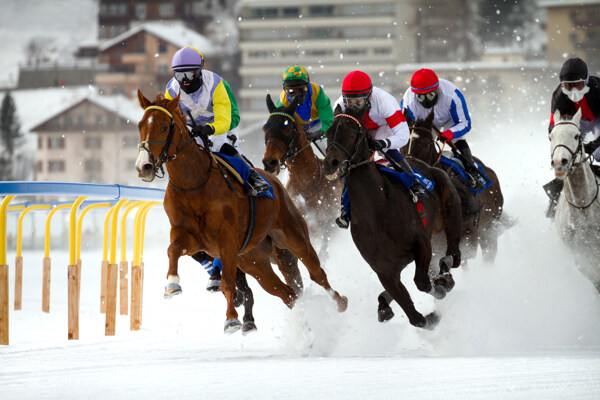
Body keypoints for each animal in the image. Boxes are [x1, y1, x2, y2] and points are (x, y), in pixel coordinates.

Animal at [322, 104, 462, 330]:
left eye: (351, 132)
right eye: (328, 132)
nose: (331, 163)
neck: (376, 213)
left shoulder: (421, 243)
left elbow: (423, 283)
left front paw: (441, 286)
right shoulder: (384, 271)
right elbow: (416, 318)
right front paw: (428, 316)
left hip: (451, 207)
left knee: (454, 256)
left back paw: (446, 269)